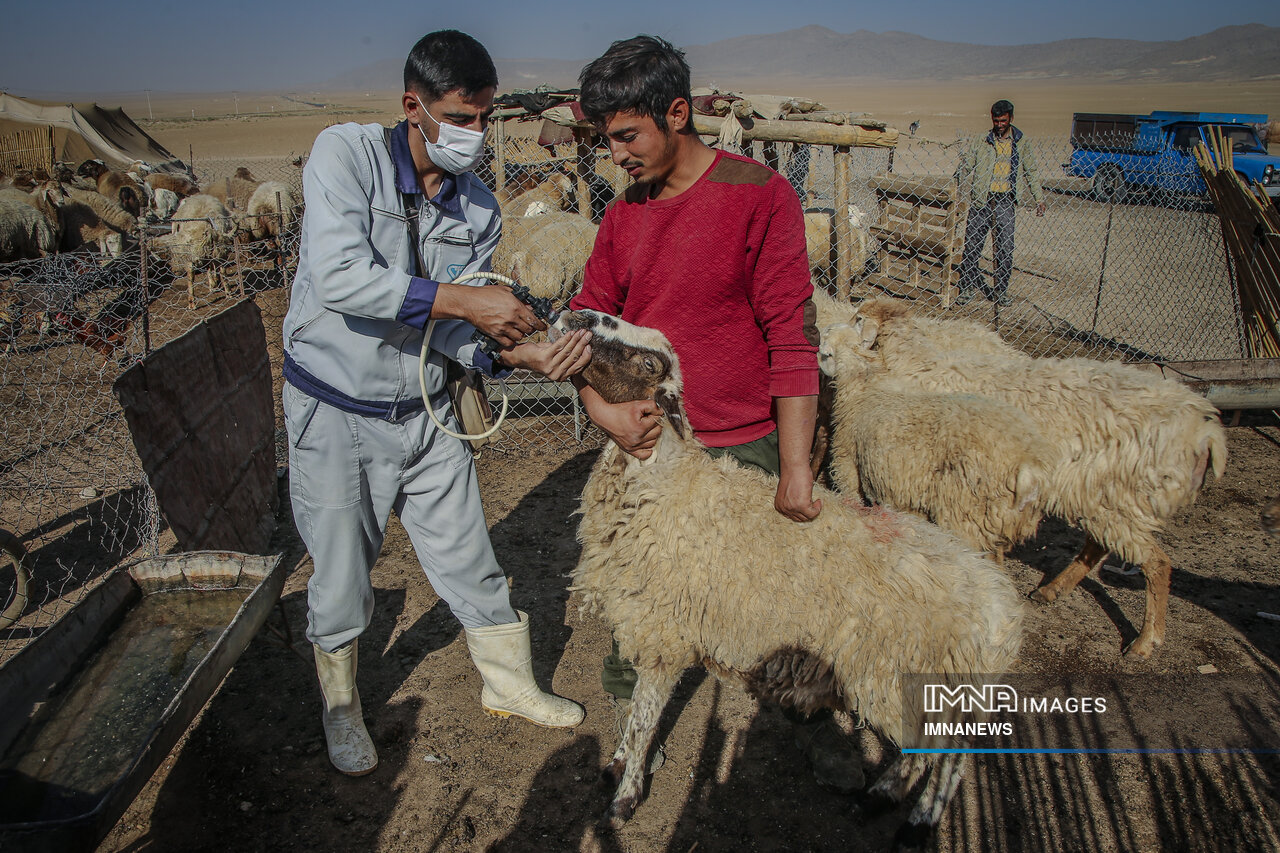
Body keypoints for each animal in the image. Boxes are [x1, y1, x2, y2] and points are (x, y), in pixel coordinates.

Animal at [559, 307, 1023, 847]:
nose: (577, 313)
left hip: (916, 683)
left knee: (950, 757)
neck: (665, 486)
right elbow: (635, 712)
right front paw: (616, 766)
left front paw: (624, 799)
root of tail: (1004, 609)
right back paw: (882, 794)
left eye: (648, 362)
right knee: (928, 752)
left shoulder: (665, 638)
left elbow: (643, 722)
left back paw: (918, 820)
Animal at [818, 321, 1050, 559]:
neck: (866, 380)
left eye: (825, 353)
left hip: (966, 514)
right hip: (999, 519)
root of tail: (1027, 465)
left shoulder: (848, 459)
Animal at [852, 296, 1227, 659]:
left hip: (1123, 496)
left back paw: (1145, 642)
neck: (916, 363)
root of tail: (1204, 430)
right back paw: (1052, 590)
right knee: (1099, 545)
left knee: (1157, 562)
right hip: (1102, 497)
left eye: (858, 319)